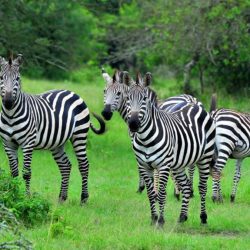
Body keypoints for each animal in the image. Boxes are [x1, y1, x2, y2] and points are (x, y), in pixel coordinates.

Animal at [0, 54, 105, 203]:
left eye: (18, 78)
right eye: (1, 78)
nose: (8, 102)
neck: (10, 115)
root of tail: (72, 92)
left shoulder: (27, 143)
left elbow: (26, 173)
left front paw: (26, 198)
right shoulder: (8, 144)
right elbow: (13, 173)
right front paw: (12, 194)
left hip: (79, 135)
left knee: (84, 165)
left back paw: (83, 198)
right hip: (57, 142)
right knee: (65, 165)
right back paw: (62, 198)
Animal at [125, 73, 215, 227]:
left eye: (144, 99)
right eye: (127, 98)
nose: (133, 124)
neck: (145, 139)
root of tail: (195, 104)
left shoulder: (163, 166)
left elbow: (161, 194)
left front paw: (160, 221)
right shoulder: (143, 166)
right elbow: (151, 194)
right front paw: (153, 218)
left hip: (204, 158)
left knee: (202, 187)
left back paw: (203, 218)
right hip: (179, 164)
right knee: (186, 186)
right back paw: (182, 217)